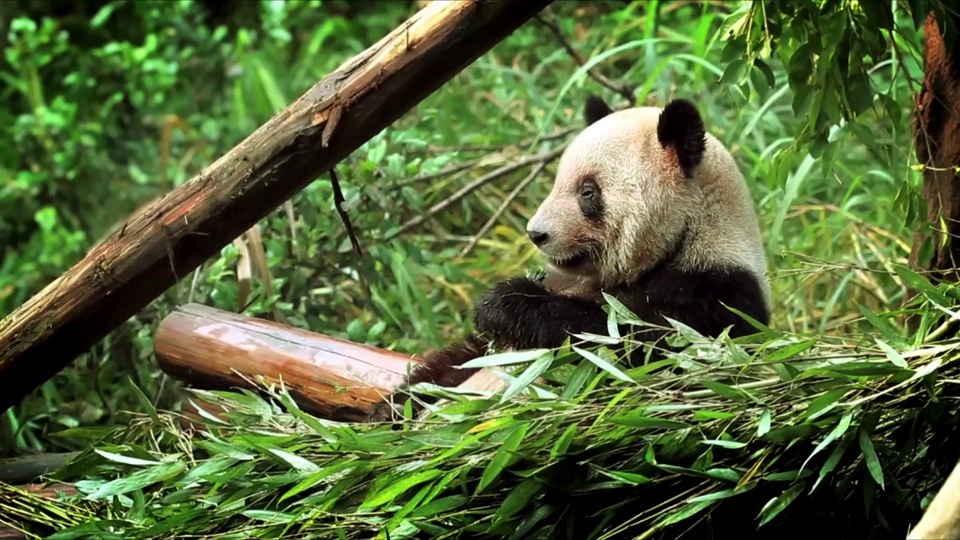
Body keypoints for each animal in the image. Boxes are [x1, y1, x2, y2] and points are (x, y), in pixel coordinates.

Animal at [368, 94, 772, 422]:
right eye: (558, 183)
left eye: (587, 192)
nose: (536, 234)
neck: (688, 235)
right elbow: (458, 359)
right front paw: (389, 408)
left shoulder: (713, 294)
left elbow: (628, 346)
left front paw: (504, 303)